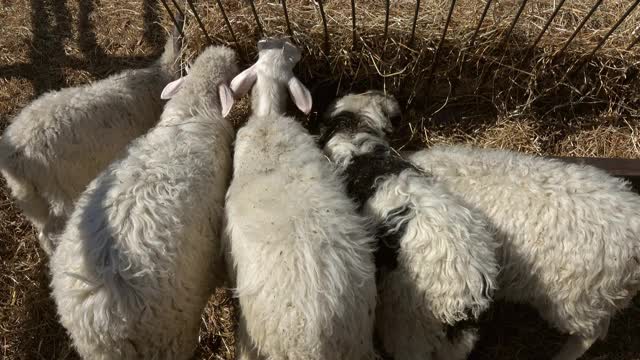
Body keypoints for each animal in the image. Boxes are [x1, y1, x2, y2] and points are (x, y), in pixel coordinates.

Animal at [0, 17, 185, 256]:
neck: (156, 82)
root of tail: (14, 156)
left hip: (30, 198)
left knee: (42, 232)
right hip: (61, 192)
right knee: (52, 230)